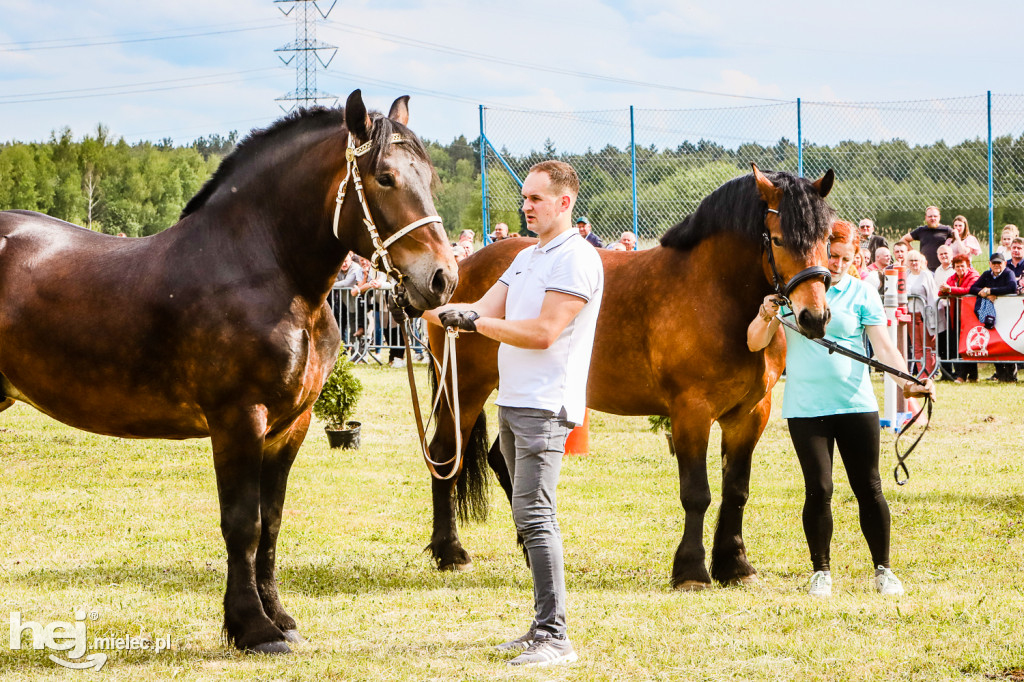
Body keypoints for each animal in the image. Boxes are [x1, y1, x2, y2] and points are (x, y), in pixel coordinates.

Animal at [0, 89, 456, 647]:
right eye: (385, 177)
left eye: (428, 177)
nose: (443, 278)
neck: (260, 268)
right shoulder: (239, 418)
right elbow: (242, 523)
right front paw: (253, 628)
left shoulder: (291, 425)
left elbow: (272, 520)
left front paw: (278, 617)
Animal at [423, 163, 831, 585]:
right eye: (779, 240)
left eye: (827, 237)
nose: (814, 317)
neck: (716, 294)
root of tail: (458, 271)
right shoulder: (691, 412)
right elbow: (696, 493)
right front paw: (691, 570)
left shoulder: (750, 414)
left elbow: (736, 490)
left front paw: (734, 564)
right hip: (465, 389)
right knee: (444, 455)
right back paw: (450, 552)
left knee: (504, 462)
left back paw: (526, 548)